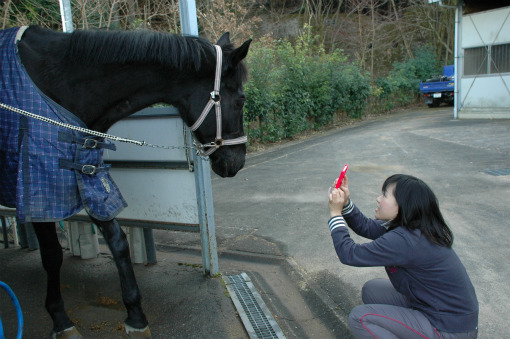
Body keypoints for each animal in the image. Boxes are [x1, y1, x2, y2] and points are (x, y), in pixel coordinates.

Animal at [0, 25, 251, 339]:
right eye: (241, 99)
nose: (237, 161)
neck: (60, 85)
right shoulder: (39, 188)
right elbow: (52, 255)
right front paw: (60, 319)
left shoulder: (88, 174)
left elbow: (118, 242)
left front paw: (135, 315)